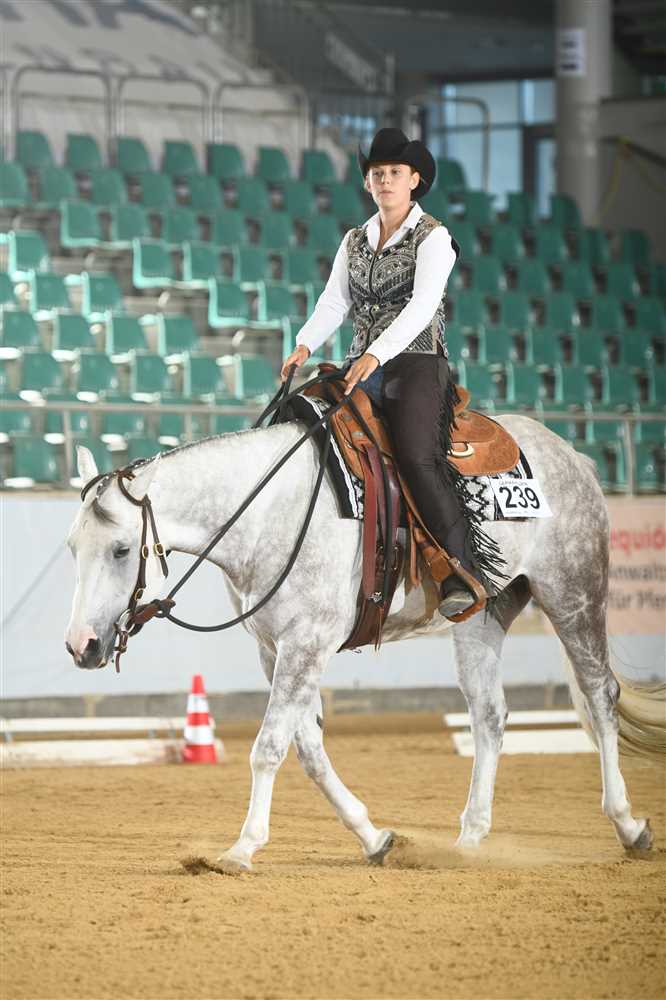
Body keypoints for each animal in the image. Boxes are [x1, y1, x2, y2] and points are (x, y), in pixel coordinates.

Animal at [65, 412, 659, 872]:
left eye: (121, 549)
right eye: (72, 546)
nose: (81, 645)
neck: (267, 513)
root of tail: (572, 454)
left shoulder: (306, 643)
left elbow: (269, 747)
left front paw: (240, 850)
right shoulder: (277, 649)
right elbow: (308, 749)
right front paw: (375, 838)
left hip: (573, 592)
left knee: (600, 695)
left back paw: (629, 826)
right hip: (483, 616)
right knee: (489, 716)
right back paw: (468, 840)